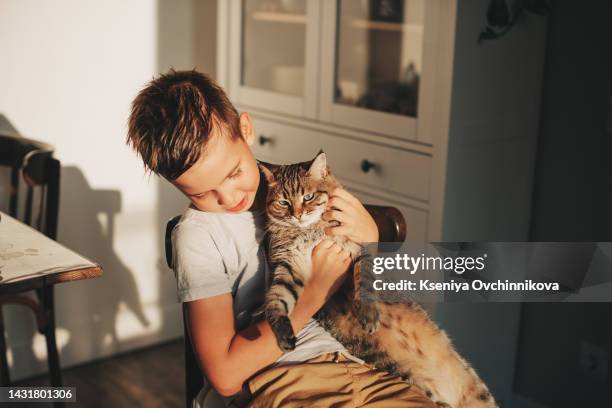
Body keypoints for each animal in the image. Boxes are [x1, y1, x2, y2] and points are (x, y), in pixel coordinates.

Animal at [260, 153, 498, 408]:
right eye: (284, 203)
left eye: (308, 197)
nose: (297, 215)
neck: (309, 230)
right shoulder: (288, 265)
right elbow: (277, 298)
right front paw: (281, 332)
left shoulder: (359, 250)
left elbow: (364, 283)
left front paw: (369, 315)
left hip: (478, 391)